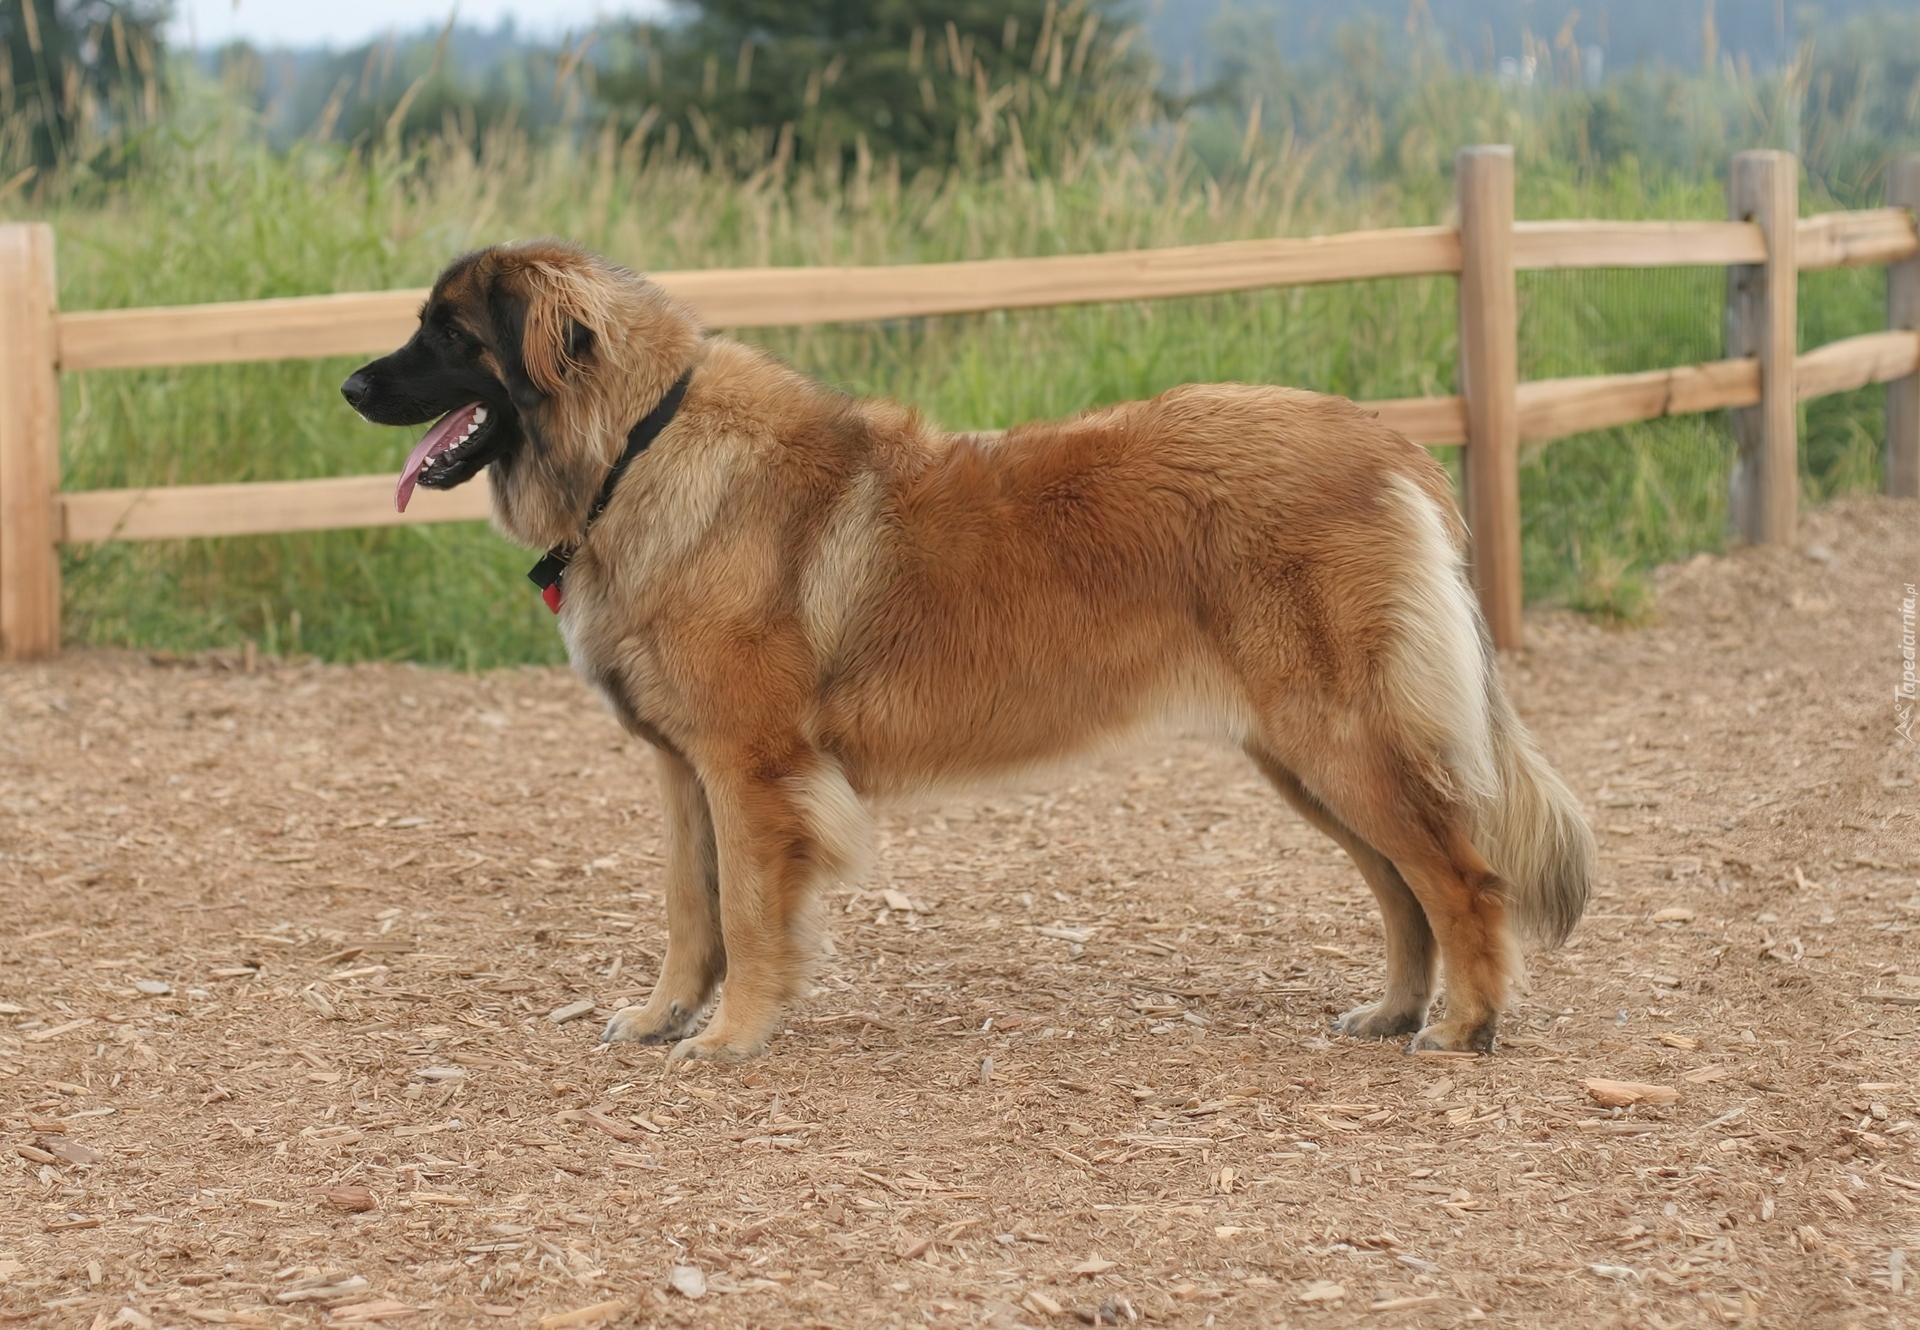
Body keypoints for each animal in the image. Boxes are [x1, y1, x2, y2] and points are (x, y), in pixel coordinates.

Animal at [341, 238, 1589, 1067]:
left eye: (448, 333)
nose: (350, 384)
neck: (639, 445)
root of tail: (1389, 442)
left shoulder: (749, 770)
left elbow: (743, 912)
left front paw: (732, 1036)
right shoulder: (681, 769)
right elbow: (689, 911)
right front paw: (662, 1017)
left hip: (1344, 742)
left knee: (1460, 875)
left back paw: (1465, 1025)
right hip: (1304, 758)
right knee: (1403, 890)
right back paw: (1394, 1010)